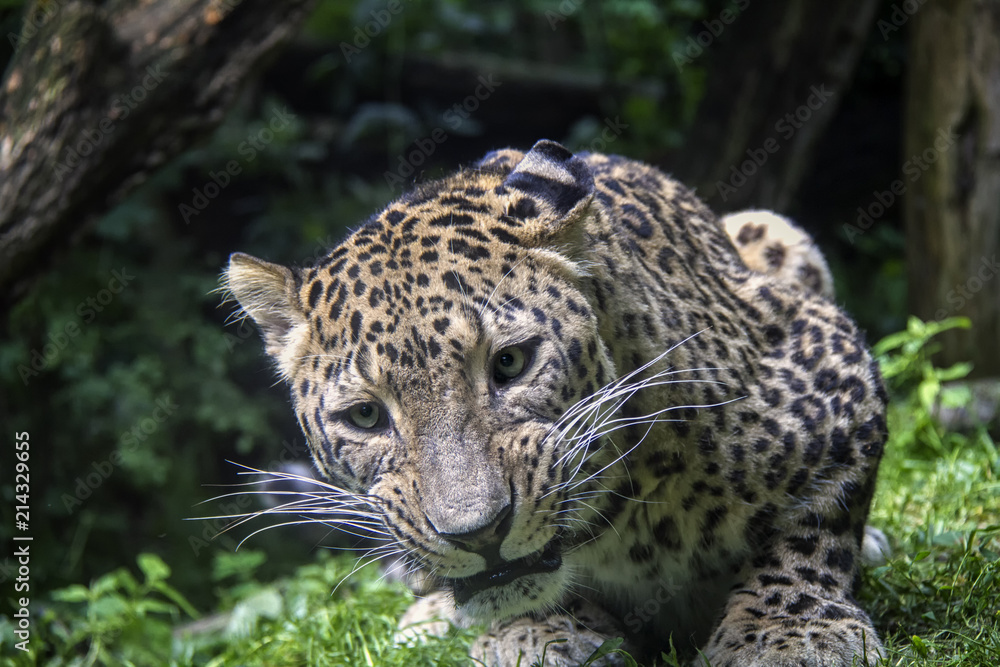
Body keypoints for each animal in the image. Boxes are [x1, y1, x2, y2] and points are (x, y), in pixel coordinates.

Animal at [223, 139, 887, 666]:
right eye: (366, 416)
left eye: (510, 364)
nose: (479, 534)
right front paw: (539, 633)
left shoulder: (827, 361)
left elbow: (815, 525)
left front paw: (788, 632)